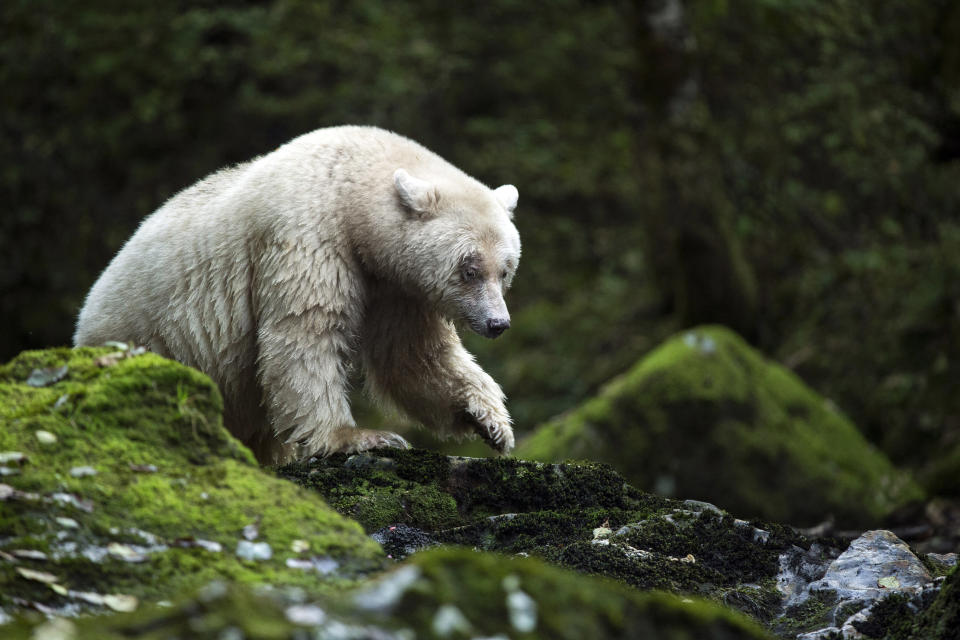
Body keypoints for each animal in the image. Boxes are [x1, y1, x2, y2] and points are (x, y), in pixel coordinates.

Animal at [74, 126, 520, 464]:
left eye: (506, 269)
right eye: (469, 269)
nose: (499, 323)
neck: (349, 185)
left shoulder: (396, 286)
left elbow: (412, 355)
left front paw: (490, 420)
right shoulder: (307, 236)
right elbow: (306, 332)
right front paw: (360, 437)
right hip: (153, 339)